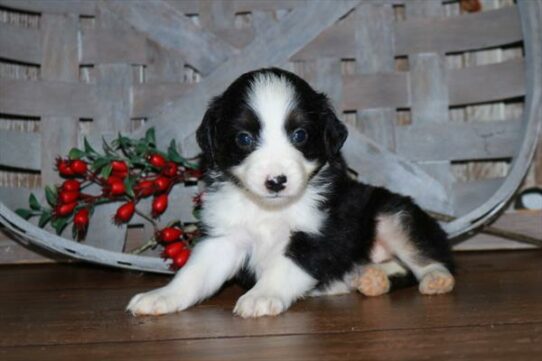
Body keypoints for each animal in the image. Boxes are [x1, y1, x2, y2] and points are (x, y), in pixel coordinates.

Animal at [127, 67, 454, 318]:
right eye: (244, 138)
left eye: (300, 135)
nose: (276, 181)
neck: (268, 210)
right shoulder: (226, 238)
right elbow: (194, 273)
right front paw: (163, 296)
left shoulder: (320, 233)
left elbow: (285, 266)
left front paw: (261, 296)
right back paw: (368, 278)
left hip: (392, 214)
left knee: (430, 257)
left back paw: (434, 279)